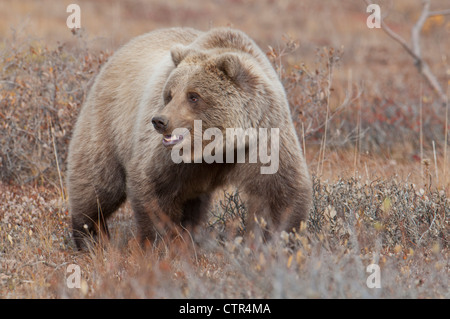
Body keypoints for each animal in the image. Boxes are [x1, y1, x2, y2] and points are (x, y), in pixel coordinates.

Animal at [67, 27, 312, 250]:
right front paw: (160, 243)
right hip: (108, 123)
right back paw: (90, 237)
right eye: (170, 94)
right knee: (99, 183)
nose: (160, 121)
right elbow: (153, 187)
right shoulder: (166, 157)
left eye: (193, 96)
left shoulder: (264, 137)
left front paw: (275, 242)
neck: (217, 148)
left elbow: (279, 193)